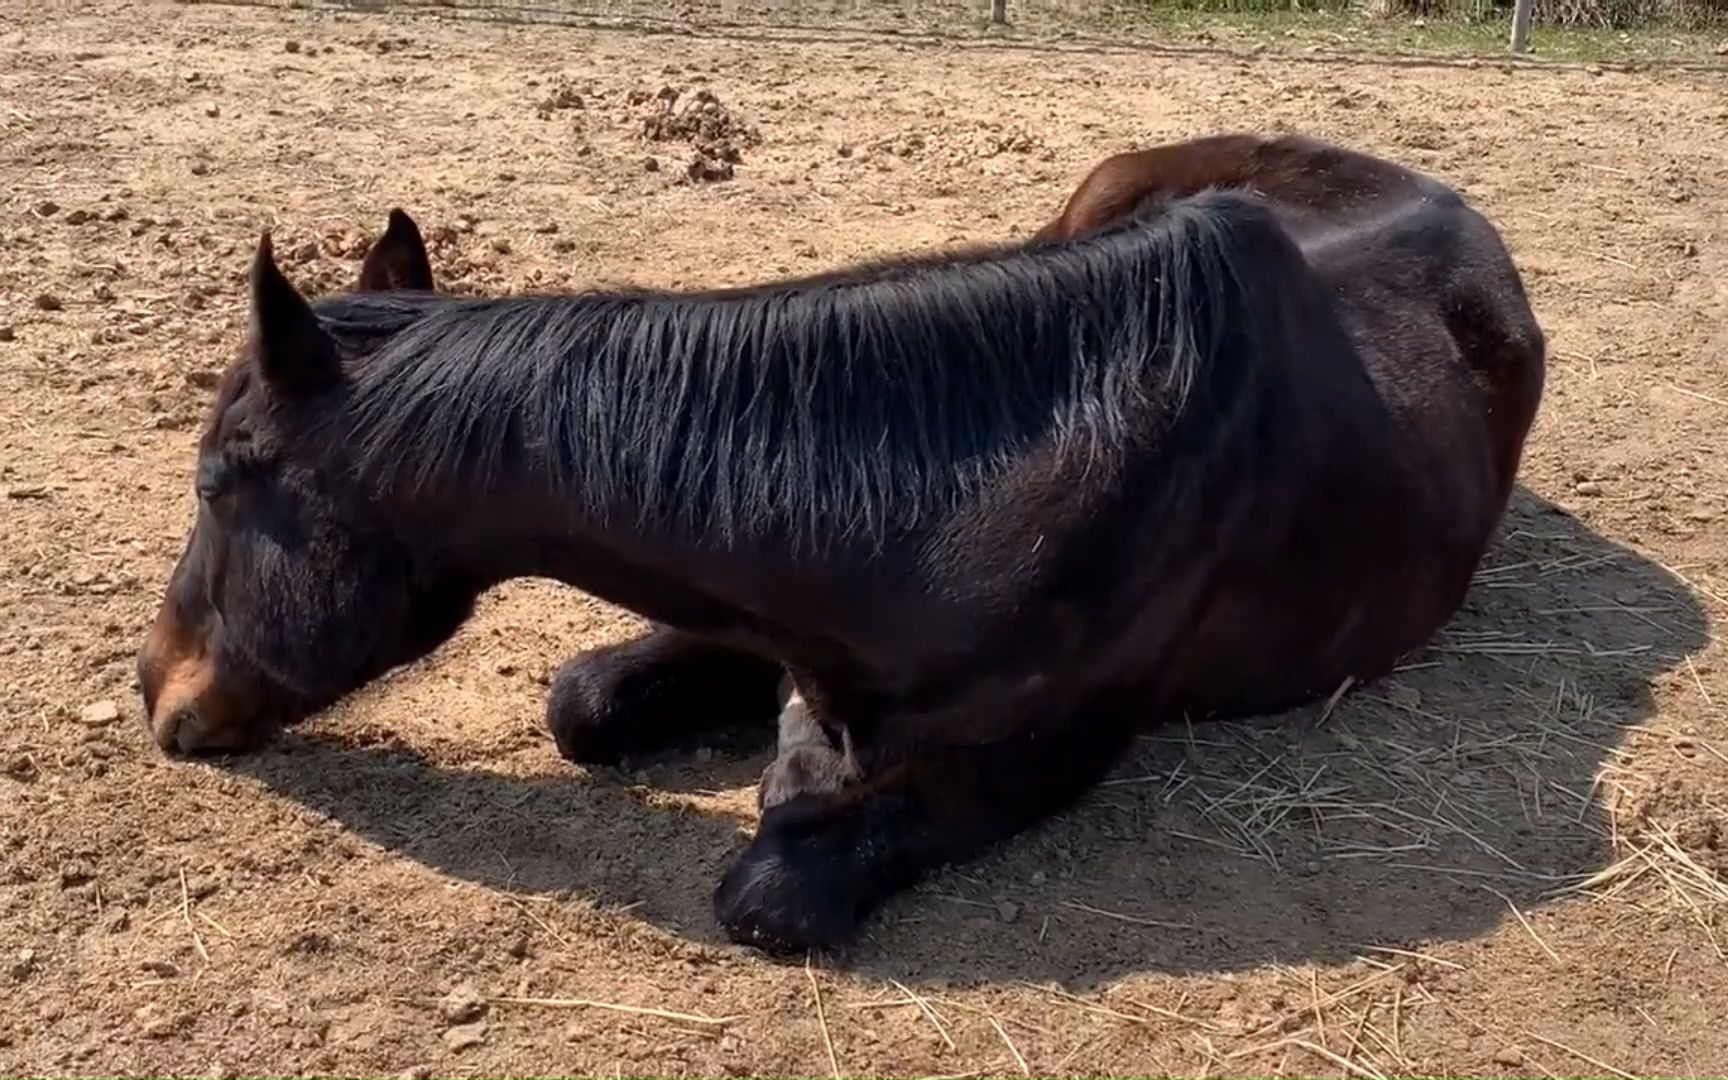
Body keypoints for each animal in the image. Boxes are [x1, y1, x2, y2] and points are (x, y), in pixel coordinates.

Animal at [131, 136, 1541, 953]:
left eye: (215, 481)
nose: (153, 689)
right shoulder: (749, 613)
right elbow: (584, 699)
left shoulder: (1043, 758)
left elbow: (773, 889)